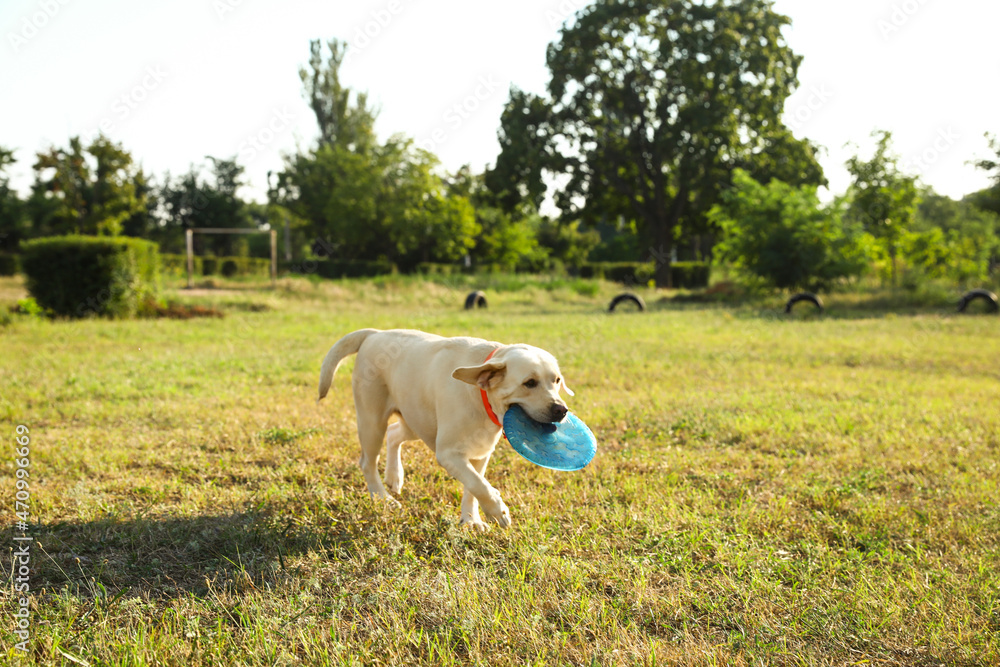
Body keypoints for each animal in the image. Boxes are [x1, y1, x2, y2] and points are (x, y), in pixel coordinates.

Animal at [316, 328, 576, 528]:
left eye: (557, 380)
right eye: (529, 383)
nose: (561, 410)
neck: (480, 396)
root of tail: (374, 334)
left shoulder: (480, 454)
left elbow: (473, 487)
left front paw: (471, 520)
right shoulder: (449, 453)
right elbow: (478, 485)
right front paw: (497, 510)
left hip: (415, 420)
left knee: (394, 435)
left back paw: (394, 476)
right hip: (372, 422)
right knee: (368, 462)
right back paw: (382, 498)